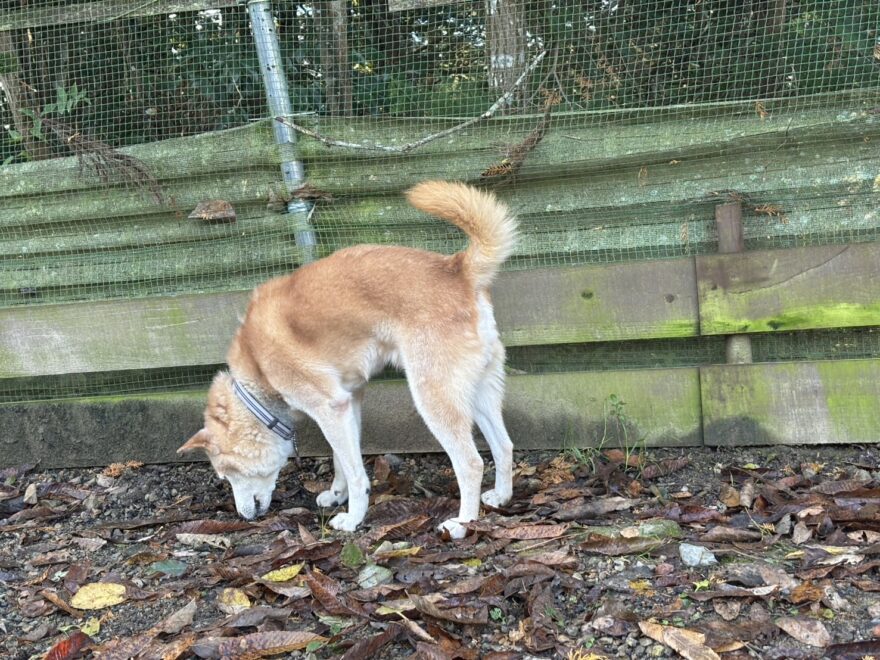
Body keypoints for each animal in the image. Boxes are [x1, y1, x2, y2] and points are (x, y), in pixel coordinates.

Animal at [177, 180, 516, 539]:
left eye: (226, 474)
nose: (243, 517)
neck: (258, 372)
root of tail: (458, 269)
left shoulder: (329, 408)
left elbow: (355, 472)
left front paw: (354, 518)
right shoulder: (347, 403)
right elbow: (341, 458)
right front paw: (336, 494)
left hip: (434, 398)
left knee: (471, 463)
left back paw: (462, 523)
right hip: (478, 392)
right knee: (504, 446)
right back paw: (501, 497)